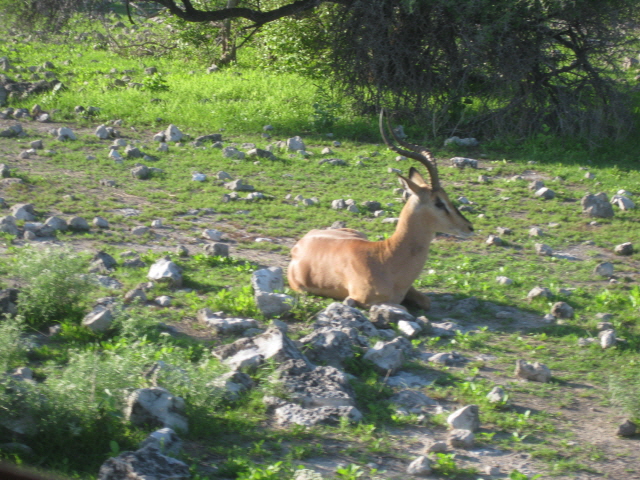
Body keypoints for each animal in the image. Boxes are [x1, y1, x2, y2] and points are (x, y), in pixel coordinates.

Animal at [288, 110, 472, 310]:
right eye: (439, 202)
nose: (469, 227)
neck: (385, 259)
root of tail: (299, 244)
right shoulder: (359, 299)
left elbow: (426, 301)